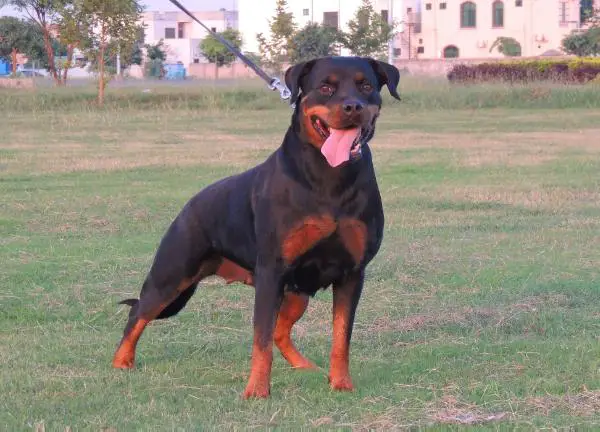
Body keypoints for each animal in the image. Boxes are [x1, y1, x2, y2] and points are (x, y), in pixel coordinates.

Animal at [115, 56, 400, 398]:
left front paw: (341, 383)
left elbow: (341, 336)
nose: (352, 106)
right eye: (326, 87)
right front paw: (257, 391)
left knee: (281, 331)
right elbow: (260, 339)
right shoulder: (271, 273)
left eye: (366, 85)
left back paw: (304, 365)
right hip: (170, 276)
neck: (330, 178)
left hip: (297, 292)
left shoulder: (351, 274)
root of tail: (189, 205)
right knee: (138, 312)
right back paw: (121, 362)